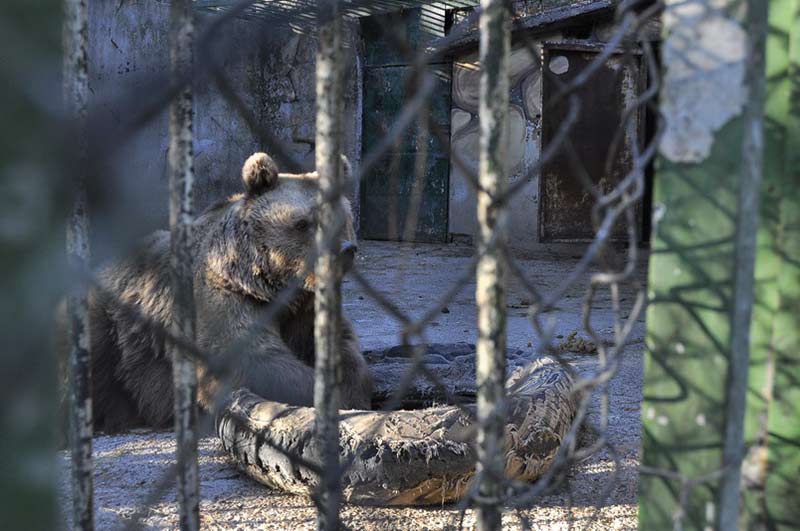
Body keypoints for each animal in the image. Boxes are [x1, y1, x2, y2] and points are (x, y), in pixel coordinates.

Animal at [84, 152, 372, 434]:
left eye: (342, 220)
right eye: (303, 223)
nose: (346, 250)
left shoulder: (304, 310)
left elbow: (342, 349)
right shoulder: (224, 300)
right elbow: (254, 361)